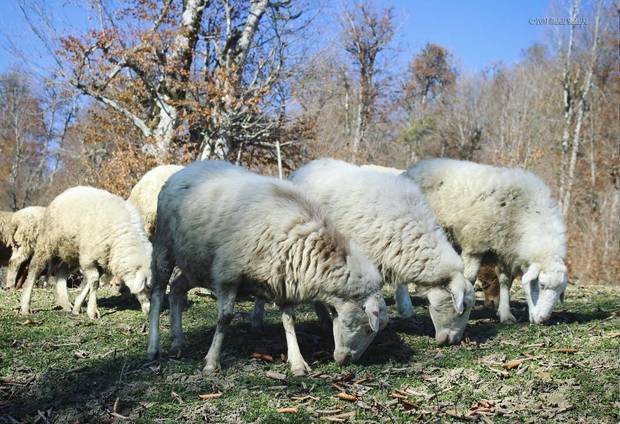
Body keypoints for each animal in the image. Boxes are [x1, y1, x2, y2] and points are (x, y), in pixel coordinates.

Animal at [19, 186, 153, 318]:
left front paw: (78, 306)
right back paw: (25, 306)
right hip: (47, 242)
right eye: (147, 287)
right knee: (35, 269)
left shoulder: (102, 259)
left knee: (61, 273)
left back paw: (66, 304)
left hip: (71, 252)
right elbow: (94, 281)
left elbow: (91, 282)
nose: (150, 312)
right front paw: (92, 311)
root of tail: (67, 191)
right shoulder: (88, 257)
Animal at [147, 161, 388, 376]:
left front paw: (297, 362)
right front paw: (212, 361)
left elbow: (289, 320)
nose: (348, 361)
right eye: (368, 328)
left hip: (196, 263)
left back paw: (178, 341)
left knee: (176, 289)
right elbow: (224, 318)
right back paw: (153, 347)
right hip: (164, 246)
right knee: (158, 293)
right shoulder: (228, 275)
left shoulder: (284, 279)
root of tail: (184, 170)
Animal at [286, 157, 474, 346]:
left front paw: (405, 309)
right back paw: (324, 318)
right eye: (463, 307)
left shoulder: (393, 254)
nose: (455, 341)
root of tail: (306, 166)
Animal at [406, 159, 568, 324]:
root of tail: (418, 165)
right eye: (541, 284)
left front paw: (505, 314)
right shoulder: (475, 245)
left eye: (560, 291)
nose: (543, 320)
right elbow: (469, 278)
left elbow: (505, 281)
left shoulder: (505, 248)